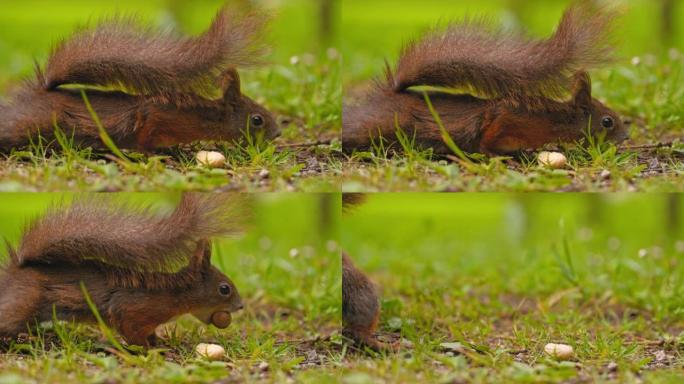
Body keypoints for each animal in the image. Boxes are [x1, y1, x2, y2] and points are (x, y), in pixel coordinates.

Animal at [0, 5, 280, 153]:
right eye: (257, 120)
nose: (277, 134)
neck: (206, 115)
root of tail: (40, 91)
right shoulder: (160, 117)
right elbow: (146, 129)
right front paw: (153, 153)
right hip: (35, 122)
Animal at [0, 194, 246, 346]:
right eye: (224, 289)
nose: (241, 306)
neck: (174, 295)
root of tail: (16, 271)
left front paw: (159, 343)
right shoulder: (133, 311)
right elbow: (132, 331)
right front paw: (149, 350)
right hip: (25, 301)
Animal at [344, 1, 628, 154]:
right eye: (607, 122)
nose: (626, 138)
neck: (557, 118)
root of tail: (390, 93)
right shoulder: (509, 119)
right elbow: (489, 135)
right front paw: (493, 154)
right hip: (379, 124)